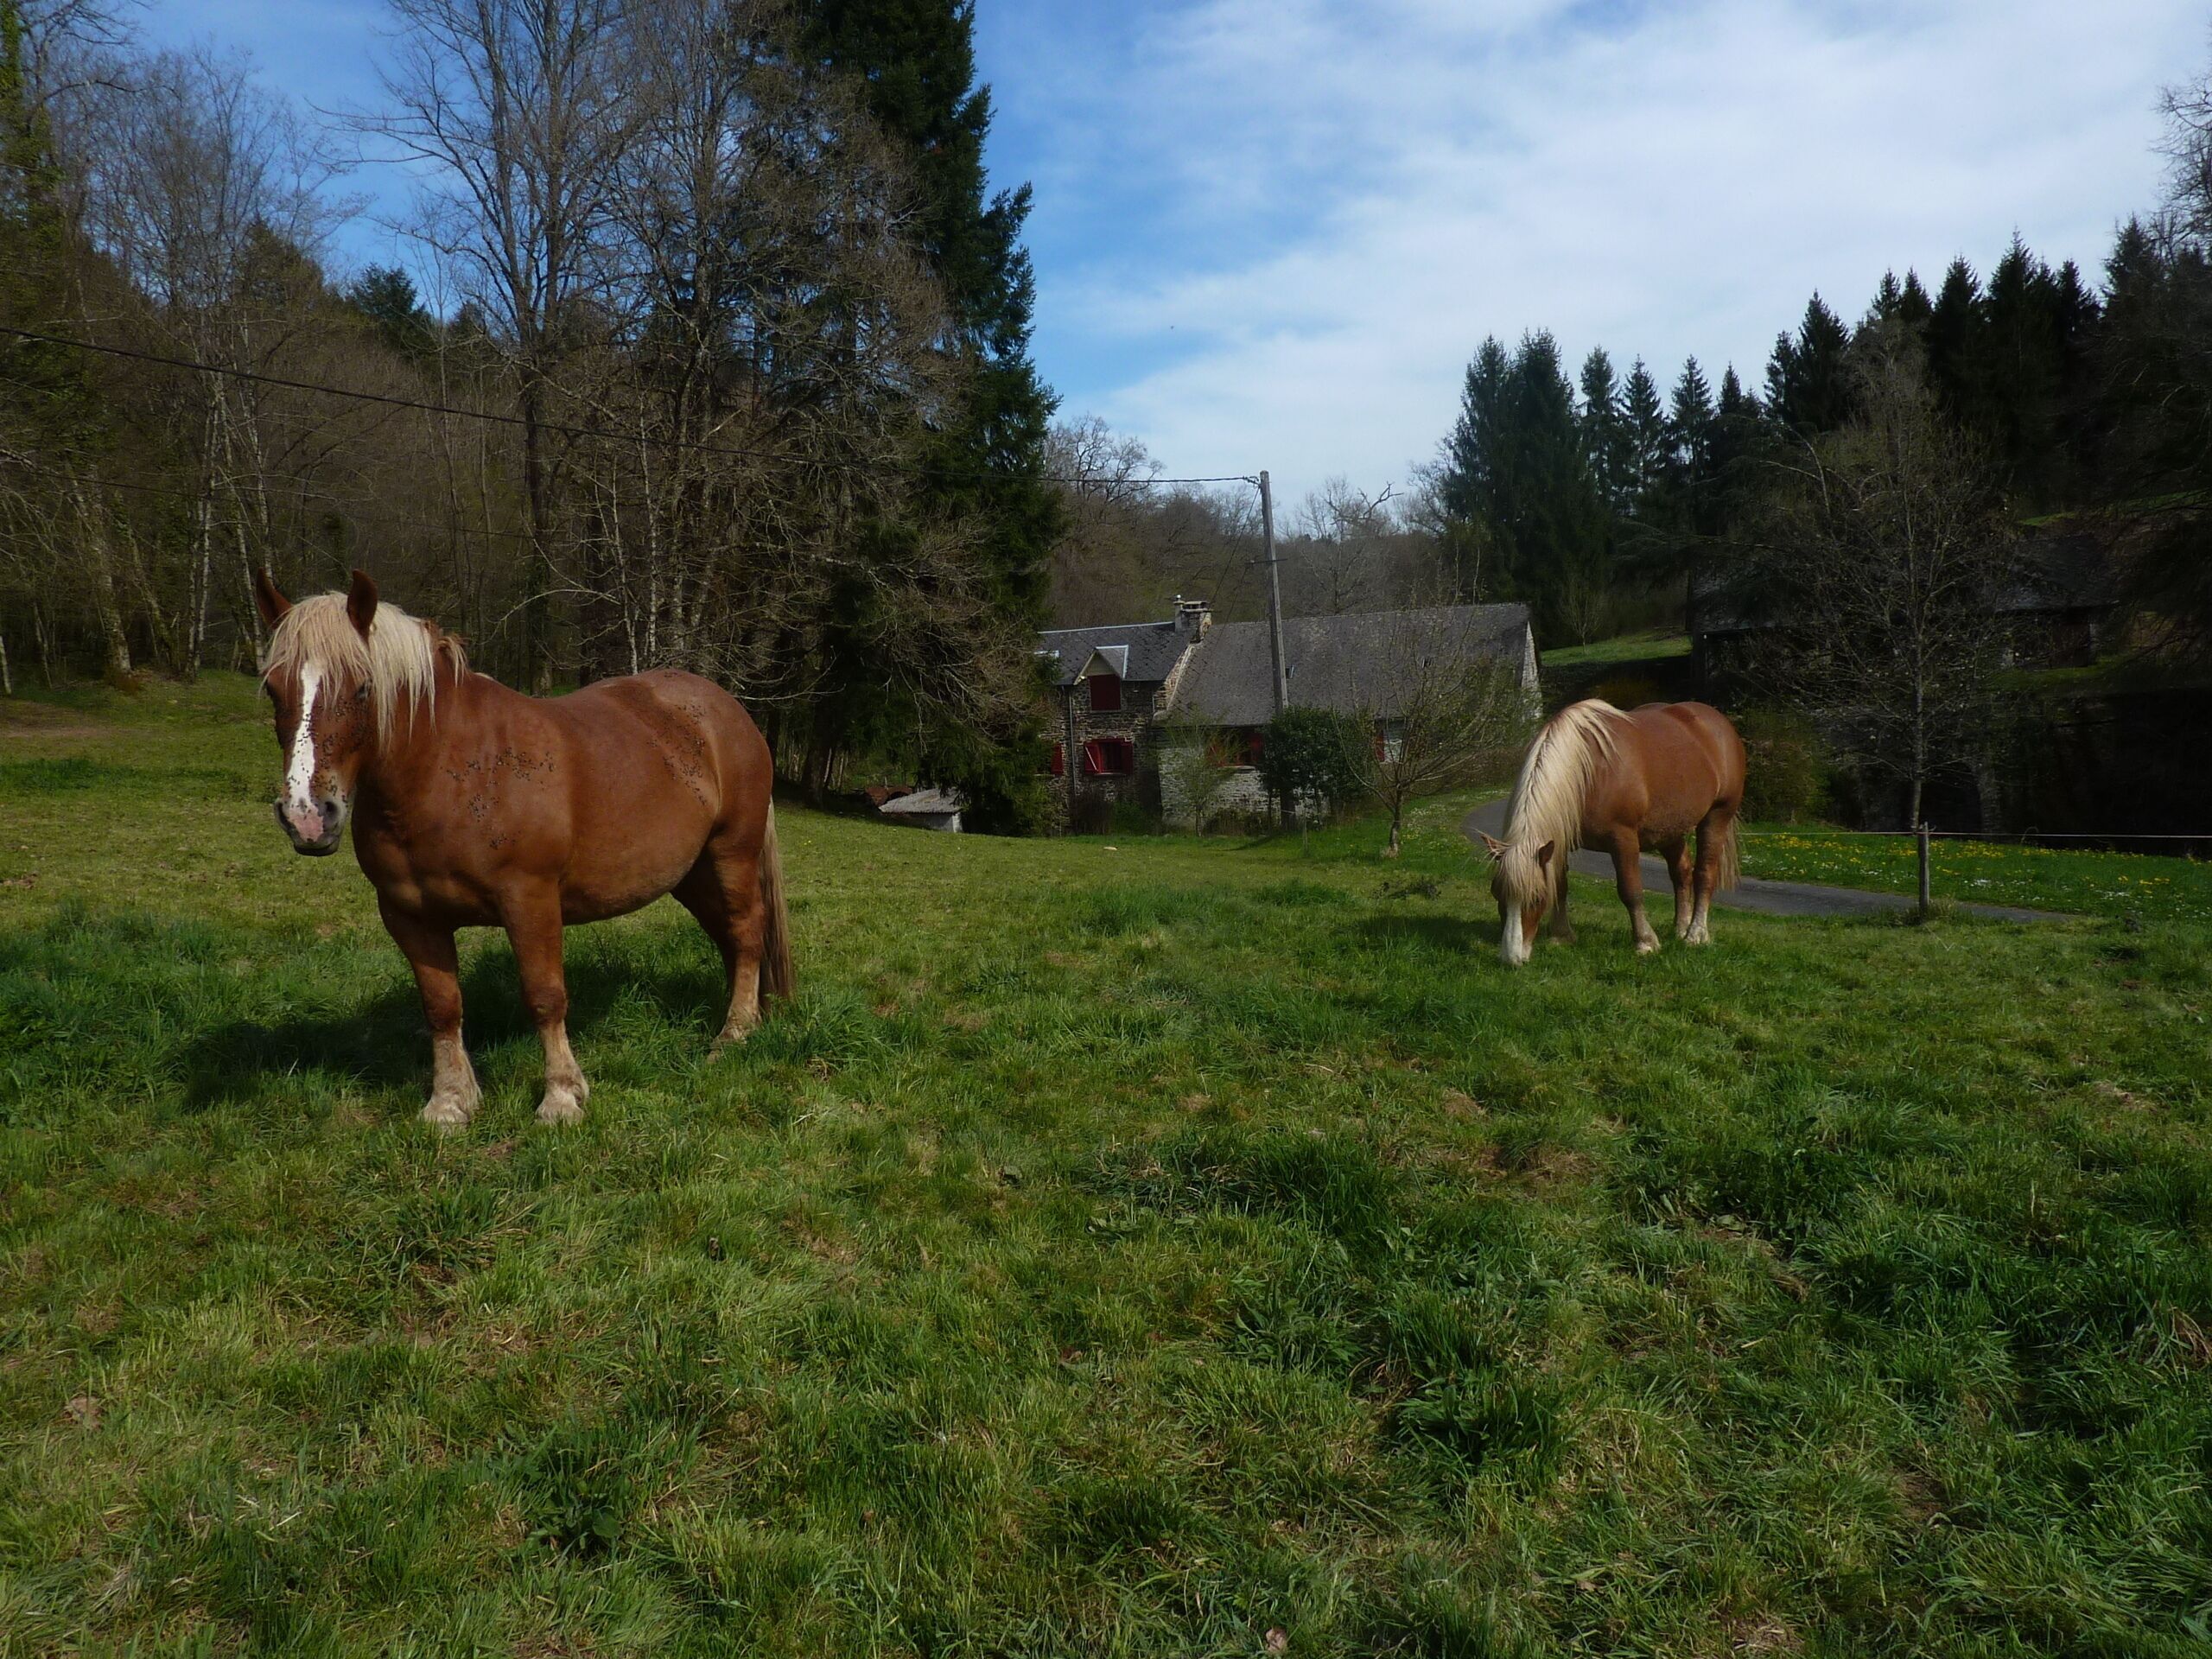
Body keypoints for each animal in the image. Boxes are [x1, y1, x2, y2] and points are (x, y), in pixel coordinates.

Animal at [253, 568, 791, 1128]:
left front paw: (561, 1097)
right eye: (273, 687)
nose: (307, 815)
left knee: (746, 931)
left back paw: (733, 1034)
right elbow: (442, 1007)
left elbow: (544, 997)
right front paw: (449, 1103)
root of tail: (728, 711)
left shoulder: (530, 902)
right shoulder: (410, 915)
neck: (449, 772)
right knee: (728, 936)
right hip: (690, 874)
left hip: (731, 855)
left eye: (362, 687)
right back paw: (749, 1016)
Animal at [1477, 699, 1745, 968]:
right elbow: (1561, 886)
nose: (1511, 959)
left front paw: (1646, 942)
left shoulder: (1623, 840)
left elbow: (1631, 891)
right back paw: (1680, 929)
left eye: (1536, 898)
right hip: (1670, 829)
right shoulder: (1559, 842)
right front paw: (1562, 936)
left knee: (1704, 875)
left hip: (1717, 817)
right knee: (1681, 873)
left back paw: (1696, 934)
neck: (1588, 771)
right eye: (1497, 894)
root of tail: (1717, 722)